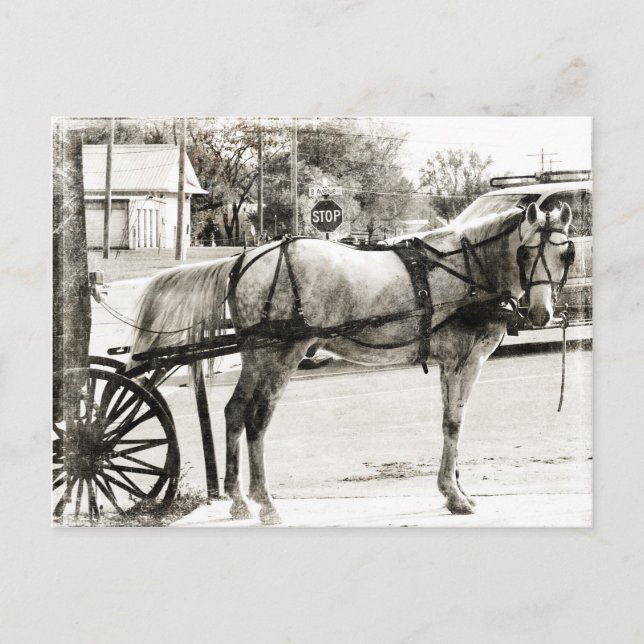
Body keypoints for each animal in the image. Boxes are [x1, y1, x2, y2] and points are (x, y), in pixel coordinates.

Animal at [129, 201, 574, 524]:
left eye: (564, 254)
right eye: (525, 252)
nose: (541, 314)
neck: (468, 269)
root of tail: (247, 258)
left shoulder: (452, 364)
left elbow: (452, 422)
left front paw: (457, 489)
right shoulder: (462, 361)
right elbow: (453, 424)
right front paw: (455, 495)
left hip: (256, 354)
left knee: (235, 411)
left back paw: (238, 501)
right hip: (280, 354)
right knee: (257, 419)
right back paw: (266, 503)